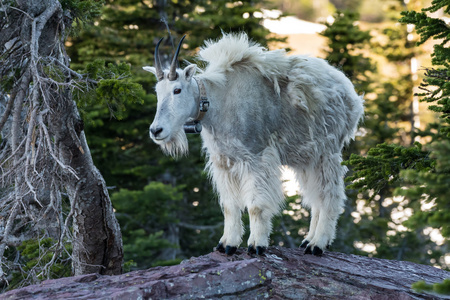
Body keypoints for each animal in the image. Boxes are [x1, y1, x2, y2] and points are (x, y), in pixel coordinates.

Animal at [144, 34, 366, 256]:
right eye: (157, 91)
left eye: (177, 90)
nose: (156, 130)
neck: (218, 103)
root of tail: (351, 93)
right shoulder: (224, 162)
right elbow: (229, 206)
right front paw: (227, 244)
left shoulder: (257, 158)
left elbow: (255, 206)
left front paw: (256, 245)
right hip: (307, 156)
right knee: (315, 196)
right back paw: (308, 240)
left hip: (327, 151)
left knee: (329, 195)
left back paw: (317, 244)